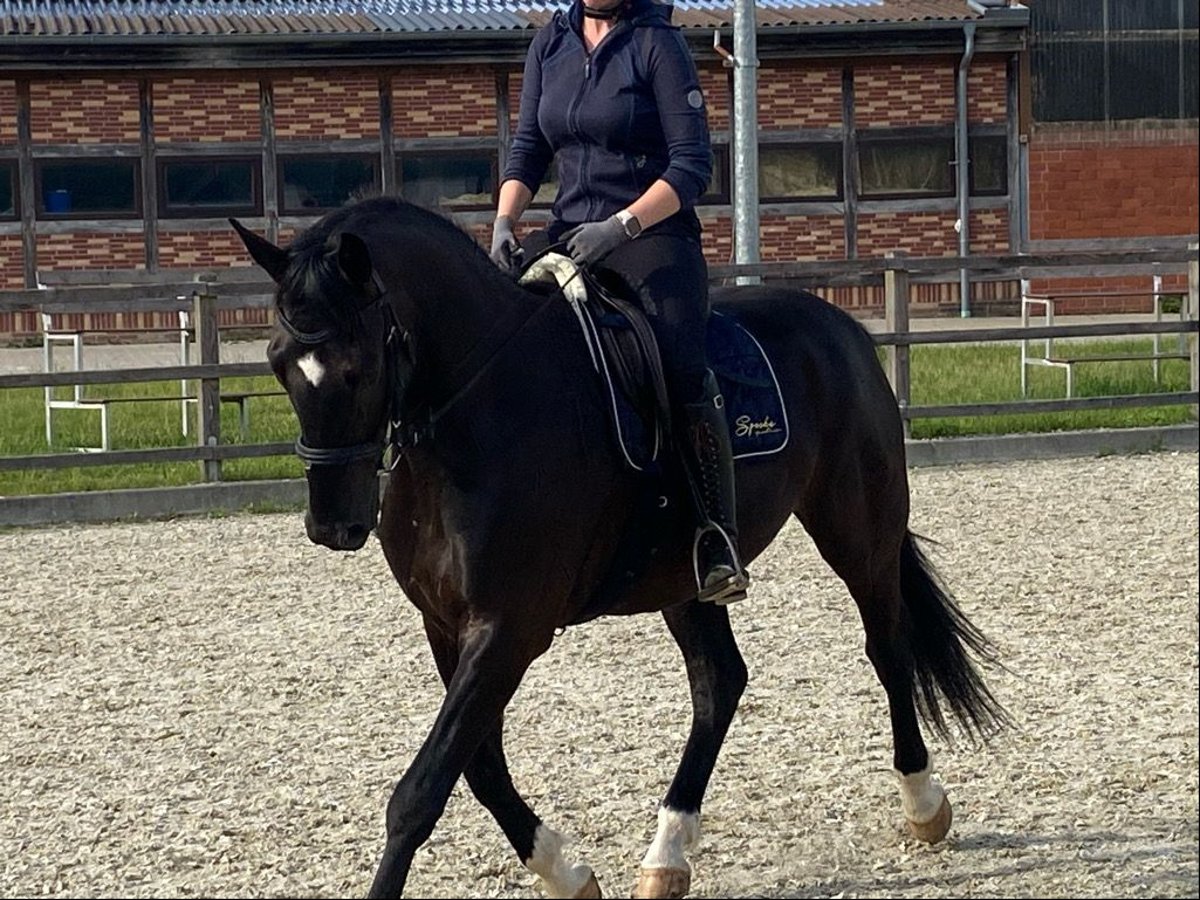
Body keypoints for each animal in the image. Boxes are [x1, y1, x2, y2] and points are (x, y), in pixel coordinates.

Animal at [231, 196, 1003, 900]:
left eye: (356, 368)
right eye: (277, 362)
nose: (332, 525)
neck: (479, 411)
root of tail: (842, 326)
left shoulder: (511, 628)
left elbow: (421, 791)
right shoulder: (446, 624)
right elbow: (478, 767)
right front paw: (566, 872)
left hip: (858, 528)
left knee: (887, 648)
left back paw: (924, 804)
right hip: (685, 578)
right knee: (719, 682)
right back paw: (668, 853)